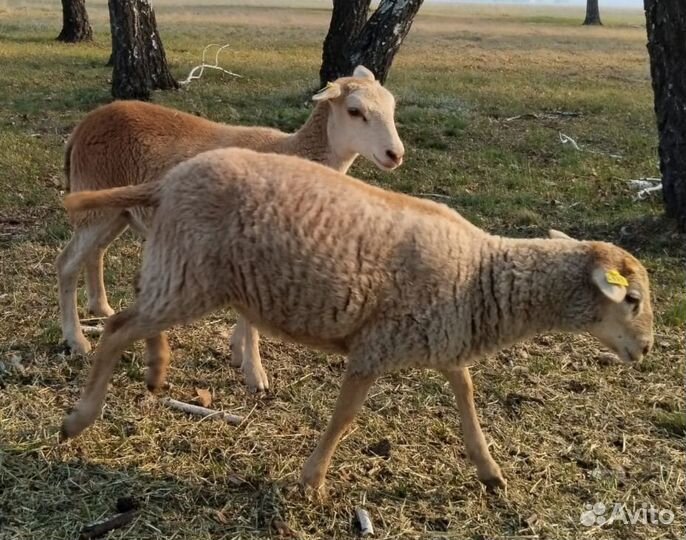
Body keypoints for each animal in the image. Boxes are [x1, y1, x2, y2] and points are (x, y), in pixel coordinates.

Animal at [56, 65, 404, 394]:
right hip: (97, 201)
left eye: (392, 107)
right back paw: (76, 340)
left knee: (95, 253)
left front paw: (238, 352)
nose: (395, 154)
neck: (292, 151)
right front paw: (256, 374)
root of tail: (84, 125)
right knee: (67, 264)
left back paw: (100, 307)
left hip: (118, 209)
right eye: (355, 111)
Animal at [59, 148, 654, 491]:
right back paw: (79, 419)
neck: (479, 275)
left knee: (138, 315)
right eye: (632, 300)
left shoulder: (442, 342)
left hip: (180, 269)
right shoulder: (374, 349)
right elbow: (345, 418)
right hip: (191, 275)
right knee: (117, 327)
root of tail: (166, 181)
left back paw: (156, 369)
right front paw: (311, 480)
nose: (646, 349)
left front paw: (488, 471)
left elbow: (466, 395)